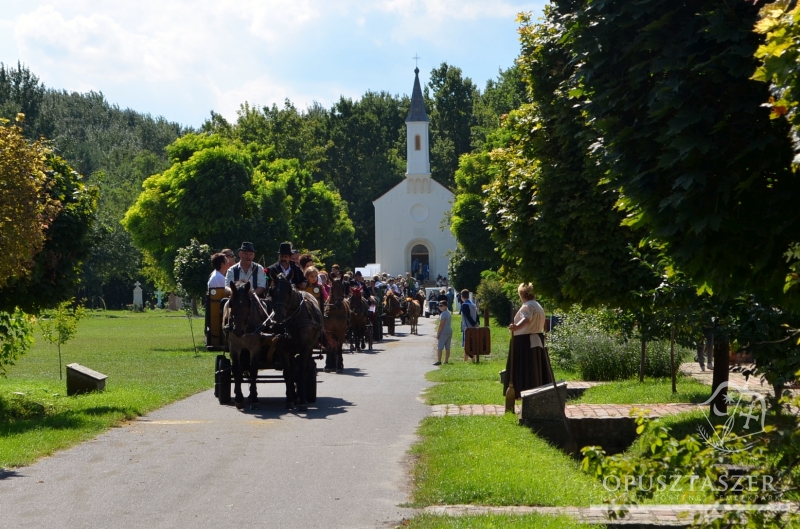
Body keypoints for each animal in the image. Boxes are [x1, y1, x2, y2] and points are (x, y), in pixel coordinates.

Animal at [222, 280, 268, 408]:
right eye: (231, 304)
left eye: (248, 304)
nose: (238, 331)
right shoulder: (235, 348)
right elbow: (237, 369)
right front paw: (238, 397)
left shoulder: (255, 348)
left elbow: (253, 370)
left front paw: (253, 397)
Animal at [266, 270, 322, 410]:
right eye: (271, 291)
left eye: (289, 291)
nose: (278, 317)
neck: (291, 320)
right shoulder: (281, 348)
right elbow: (287, 373)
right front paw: (290, 400)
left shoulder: (305, 347)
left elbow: (301, 372)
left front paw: (303, 401)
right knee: (292, 370)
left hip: (310, 348)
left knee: (305, 368)